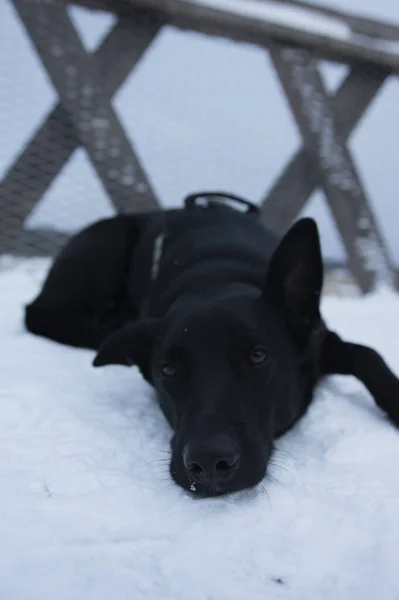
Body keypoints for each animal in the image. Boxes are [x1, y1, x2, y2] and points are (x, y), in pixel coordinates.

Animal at [25, 195, 399, 500]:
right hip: (105, 247)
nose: (208, 462)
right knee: (38, 314)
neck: (217, 278)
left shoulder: (319, 338)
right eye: (168, 369)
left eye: (258, 356)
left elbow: (368, 354)